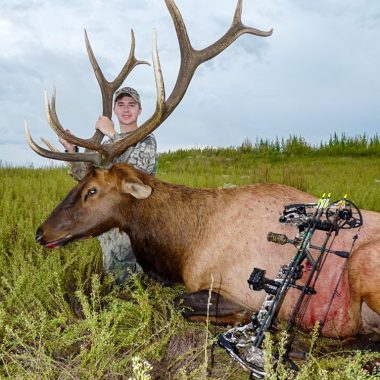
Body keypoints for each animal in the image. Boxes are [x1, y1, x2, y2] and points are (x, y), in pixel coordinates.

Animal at [24, 0, 380, 342]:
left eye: (92, 190)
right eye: (80, 182)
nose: (41, 233)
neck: (184, 245)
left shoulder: (240, 288)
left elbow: (182, 303)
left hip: (363, 263)